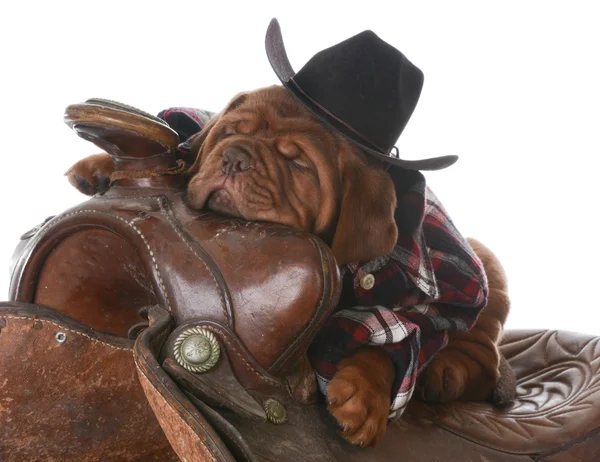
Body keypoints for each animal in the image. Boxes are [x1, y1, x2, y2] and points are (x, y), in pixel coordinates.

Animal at [67, 85, 516, 448]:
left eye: (297, 163)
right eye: (228, 134)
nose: (235, 157)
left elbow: (393, 333)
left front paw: (365, 395)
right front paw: (96, 166)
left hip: (486, 268)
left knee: (483, 354)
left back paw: (446, 372)